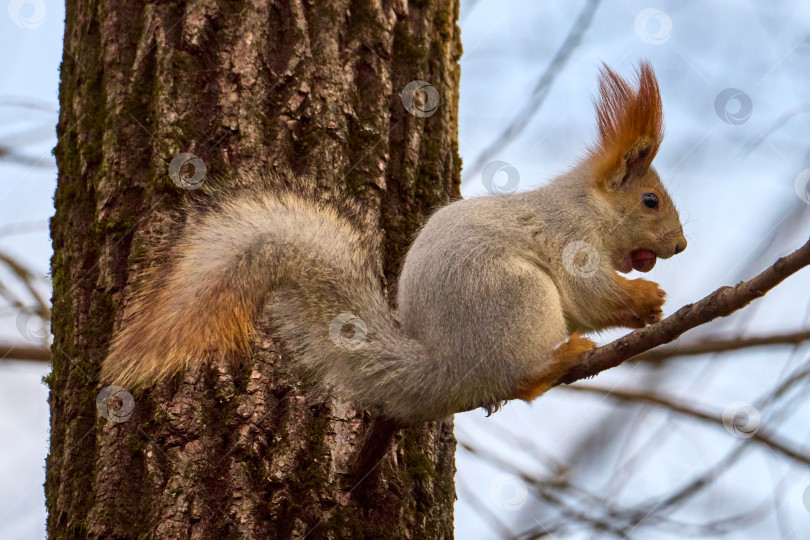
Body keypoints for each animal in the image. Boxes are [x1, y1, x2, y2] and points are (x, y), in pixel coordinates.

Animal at [99, 62, 680, 422]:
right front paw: (646, 301)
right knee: (518, 377)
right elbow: (591, 295)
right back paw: (555, 362)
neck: (590, 208)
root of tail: (444, 373)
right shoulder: (570, 239)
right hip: (521, 302)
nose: (681, 246)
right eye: (650, 201)